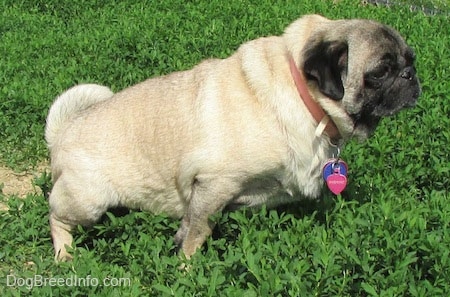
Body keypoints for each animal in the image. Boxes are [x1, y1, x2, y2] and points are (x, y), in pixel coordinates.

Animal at [44, 14, 420, 260]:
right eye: (380, 72)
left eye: (410, 60)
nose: (410, 74)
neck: (304, 97)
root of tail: (64, 131)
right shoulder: (214, 183)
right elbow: (197, 231)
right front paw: (186, 269)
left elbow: (193, 224)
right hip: (89, 199)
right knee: (56, 217)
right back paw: (66, 256)